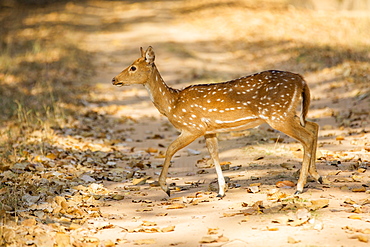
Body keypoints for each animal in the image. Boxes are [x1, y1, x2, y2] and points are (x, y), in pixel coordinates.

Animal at [111, 45, 322, 197]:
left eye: (133, 67)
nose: (114, 79)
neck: (172, 105)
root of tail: (302, 80)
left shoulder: (193, 127)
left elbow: (170, 149)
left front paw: (166, 187)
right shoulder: (209, 130)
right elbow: (214, 154)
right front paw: (221, 191)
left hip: (277, 115)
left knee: (306, 137)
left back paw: (299, 187)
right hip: (288, 113)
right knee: (313, 126)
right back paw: (317, 176)